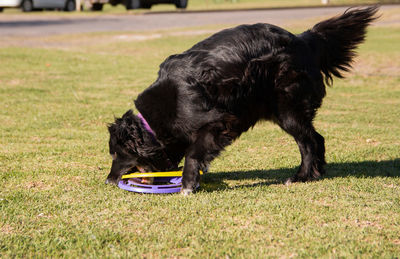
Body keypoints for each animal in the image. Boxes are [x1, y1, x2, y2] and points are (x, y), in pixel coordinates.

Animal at [105, 6, 378, 195]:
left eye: (117, 153)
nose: (108, 180)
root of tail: (304, 39)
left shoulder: (218, 121)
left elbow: (193, 153)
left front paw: (188, 184)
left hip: (287, 109)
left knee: (310, 141)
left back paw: (301, 176)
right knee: (313, 140)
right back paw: (314, 173)